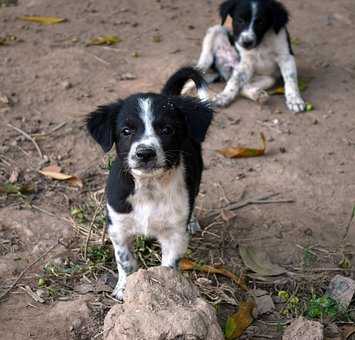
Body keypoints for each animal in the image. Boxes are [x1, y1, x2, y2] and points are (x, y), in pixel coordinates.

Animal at [86, 67, 214, 300]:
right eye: (126, 131)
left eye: (167, 130)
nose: (145, 153)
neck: (149, 187)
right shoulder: (118, 227)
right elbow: (125, 261)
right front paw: (124, 289)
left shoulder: (174, 235)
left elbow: (168, 267)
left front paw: (165, 289)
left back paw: (192, 222)